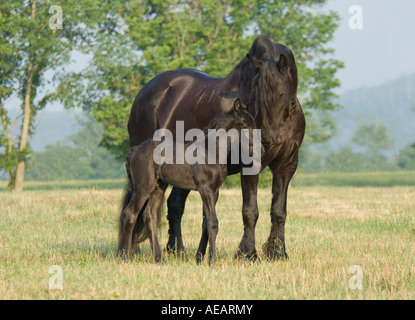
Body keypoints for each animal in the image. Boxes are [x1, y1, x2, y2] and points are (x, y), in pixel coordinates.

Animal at [117, 99, 258, 264]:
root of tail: (135, 150)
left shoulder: (215, 191)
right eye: (244, 124)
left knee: (149, 216)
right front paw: (212, 261)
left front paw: (201, 258)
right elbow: (213, 223)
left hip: (158, 188)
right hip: (143, 187)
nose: (257, 148)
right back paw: (126, 257)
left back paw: (158, 258)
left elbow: (206, 223)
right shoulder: (205, 189)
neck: (210, 151)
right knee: (129, 214)